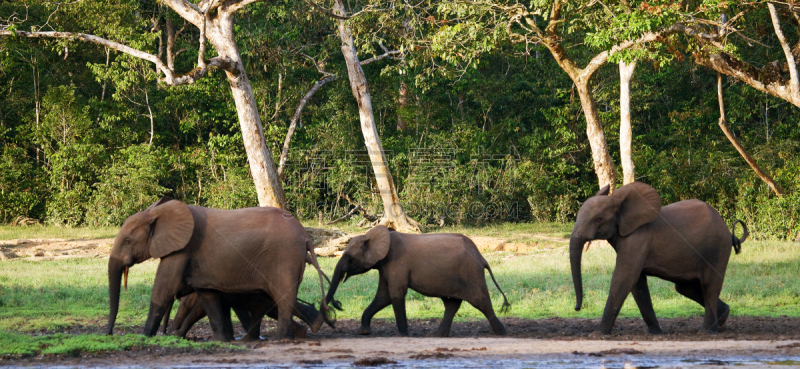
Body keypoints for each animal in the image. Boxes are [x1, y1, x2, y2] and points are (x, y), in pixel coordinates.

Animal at [108, 197, 330, 340]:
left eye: (127, 241)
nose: (108, 334)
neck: (156, 213)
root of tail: (306, 237)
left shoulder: (182, 249)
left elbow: (163, 290)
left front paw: (145, 337)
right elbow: (207, 296)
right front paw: (222, 340)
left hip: (284, 257)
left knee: (281, 296)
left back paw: (283, 339)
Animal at [326, 224, 510, 336]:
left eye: (348, 257)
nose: (337, 305)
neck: (370, 235)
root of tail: (481, 257)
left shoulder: (397, 262)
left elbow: (395, 294)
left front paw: (403, 335)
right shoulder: (384, 266)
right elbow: (384, 297)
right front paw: (363, 332)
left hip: (470, 273)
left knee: (481, 301)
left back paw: (501, 333)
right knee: (451, 304)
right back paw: (435, 335)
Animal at [564, 181, 748, 334]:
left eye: (599, 219)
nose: (577, 308)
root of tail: (729, 232)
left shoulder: (638, 239)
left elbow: (623, 279)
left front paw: (598, 334)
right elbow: (637, 284)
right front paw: (655, 333)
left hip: (717, 248)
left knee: (709, 286)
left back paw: (706, 332)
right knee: (686, 288)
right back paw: (722, 318)